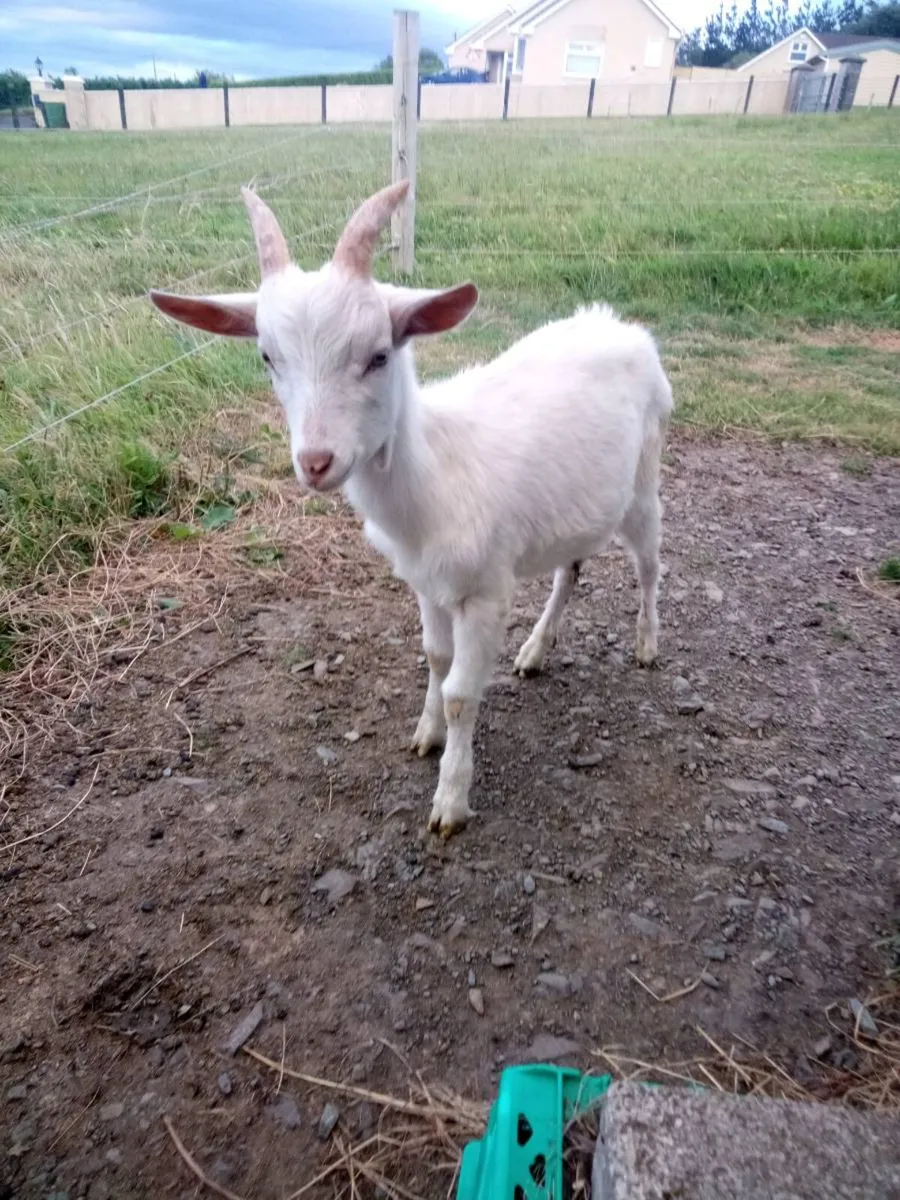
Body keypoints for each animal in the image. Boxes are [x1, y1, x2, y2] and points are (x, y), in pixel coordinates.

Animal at [150, 182, 673, 838]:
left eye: (378, 355)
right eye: (267, 357)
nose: (316, 461)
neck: (432, 477)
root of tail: (621, 326)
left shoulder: (485, 591)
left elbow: (461, 693)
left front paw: (450, 800)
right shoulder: (426, 581)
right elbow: (435, 657)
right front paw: (426, 735)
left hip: (644, 478)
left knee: (651, 563)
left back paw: (647, 644)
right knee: (570, 568)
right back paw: (534, 651)